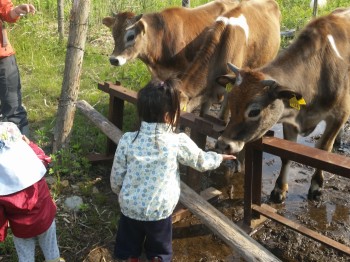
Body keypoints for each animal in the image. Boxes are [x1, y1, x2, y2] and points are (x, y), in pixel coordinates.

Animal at [216, 6, 350, 203]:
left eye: (254, 111)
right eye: (231, 103)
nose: (223, 144)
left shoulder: (339, 115)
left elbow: (323, 150)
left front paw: (316, 186)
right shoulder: (289, 119)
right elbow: (286, 155)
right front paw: (279, 189)